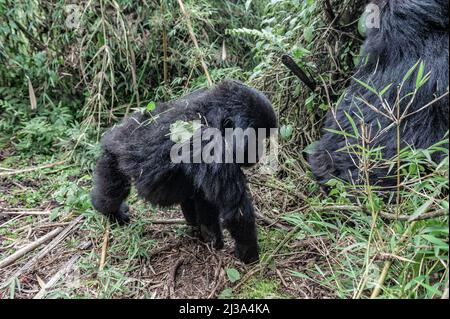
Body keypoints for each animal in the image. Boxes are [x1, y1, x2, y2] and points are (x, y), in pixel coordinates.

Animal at [91, 80, 278, 264]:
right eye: (254, 138)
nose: (259, 152)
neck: (212, 115)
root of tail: (113, 132)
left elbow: (204, 198)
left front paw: (210, 235)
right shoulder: (210, 145)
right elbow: (236, 210)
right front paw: (250, 253)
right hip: (112, 157)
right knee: (114, 191)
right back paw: (110, 212)